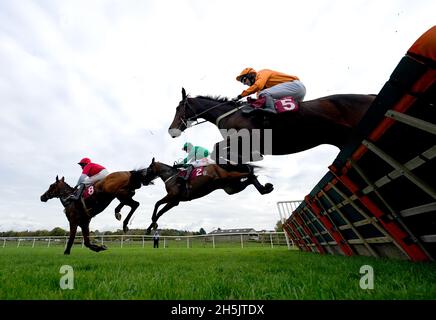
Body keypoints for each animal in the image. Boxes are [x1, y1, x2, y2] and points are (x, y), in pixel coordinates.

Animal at [142, 158, 272, 235]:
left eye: (148, 168)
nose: (144, 181)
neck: (172, 177)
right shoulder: (175, 201)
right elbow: (160, 212)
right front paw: (151, 227)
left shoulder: (172, 196)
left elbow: (157, 204)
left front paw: (152, 224)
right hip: (231, 187)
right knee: (249, 179)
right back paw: (265, 189)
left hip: (229, 177)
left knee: (249, 174)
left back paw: (259, 180)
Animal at [169, 87, 376, 162]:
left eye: (178, 107)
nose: (172, 131)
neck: (232, 113)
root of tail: (369, 95)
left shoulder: (245, 139)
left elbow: (216, 148)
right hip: (343, 139)